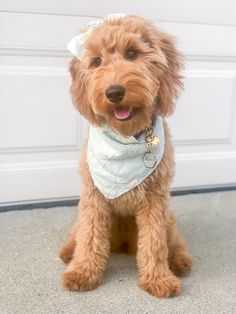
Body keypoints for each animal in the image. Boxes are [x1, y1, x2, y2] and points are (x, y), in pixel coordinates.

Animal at [59, 14, 192, 298]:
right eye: (97, 62)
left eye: (132, 53)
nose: (114, 92)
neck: (126, 138)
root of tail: (121, 245)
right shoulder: (93, 197)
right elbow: (89, 235)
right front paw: (82, 271)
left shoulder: (155, 201)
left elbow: (155, 241)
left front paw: (159, 278)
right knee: (78, 232)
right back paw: (68, 252)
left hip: (168, 215)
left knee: (172, 239)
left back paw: (179, 260)